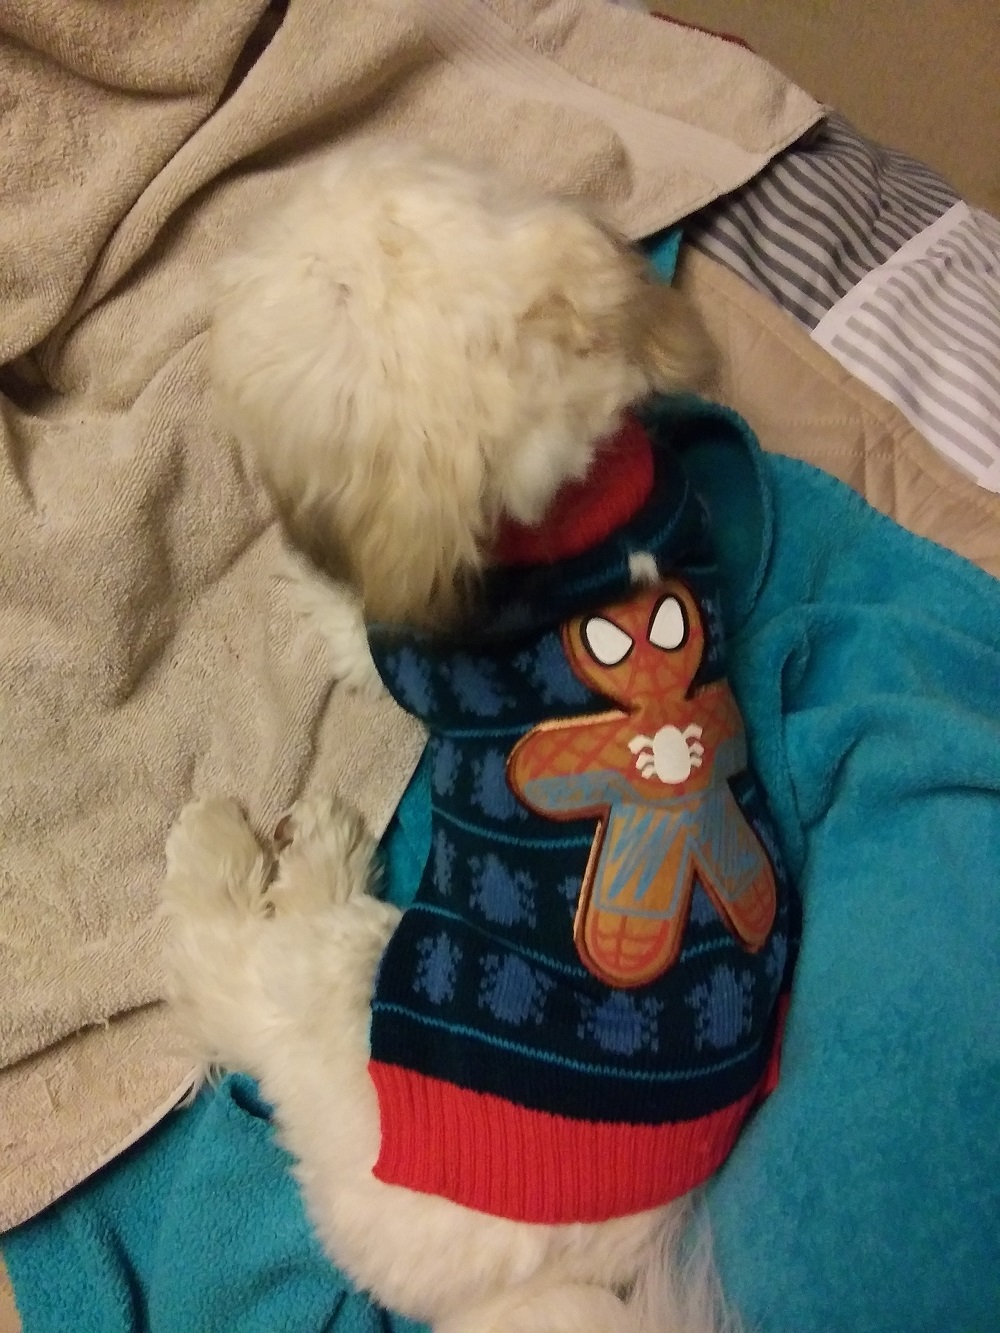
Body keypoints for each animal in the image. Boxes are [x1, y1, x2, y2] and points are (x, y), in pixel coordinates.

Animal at [162, 140, 730, 1327]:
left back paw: (256, 855)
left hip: (338, 995)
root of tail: (553, 1280)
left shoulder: (401, 648)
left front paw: (297, 568)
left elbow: (347, 622)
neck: (567, 506)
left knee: (237, 974)